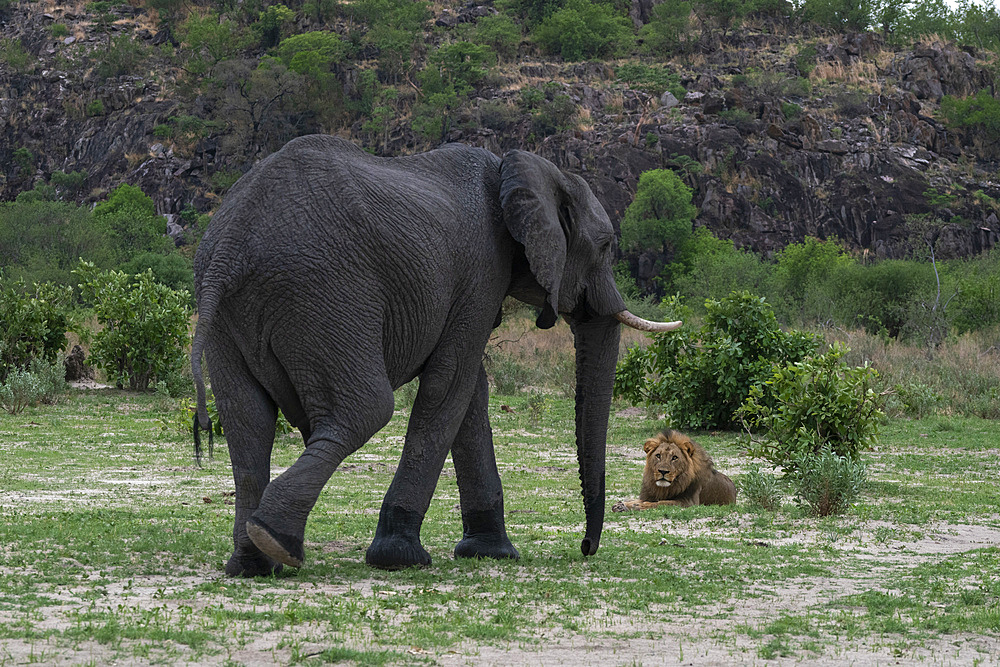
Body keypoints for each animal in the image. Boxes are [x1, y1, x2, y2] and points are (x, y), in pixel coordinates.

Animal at [192, 133, 680, 576]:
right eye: (605, 246)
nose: (585, 547)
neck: (523, 169)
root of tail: (228, 249)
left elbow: (470, 394)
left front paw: (490, 553)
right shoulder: (482, 269)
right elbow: (450, 384)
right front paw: (400, 558)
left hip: (231, 312)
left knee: (247, 418)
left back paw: (253, 563)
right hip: (325, 294)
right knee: (365, 410)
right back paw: (277, 543)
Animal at [608, 430, 736, 516]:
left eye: (674, 457)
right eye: (658, 456)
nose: (663, 471)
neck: (664, 489)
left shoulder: (689, 503)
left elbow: (663, 503)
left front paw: (642, 506)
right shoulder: (650, 495)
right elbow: (636, 500)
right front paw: (621, 505)